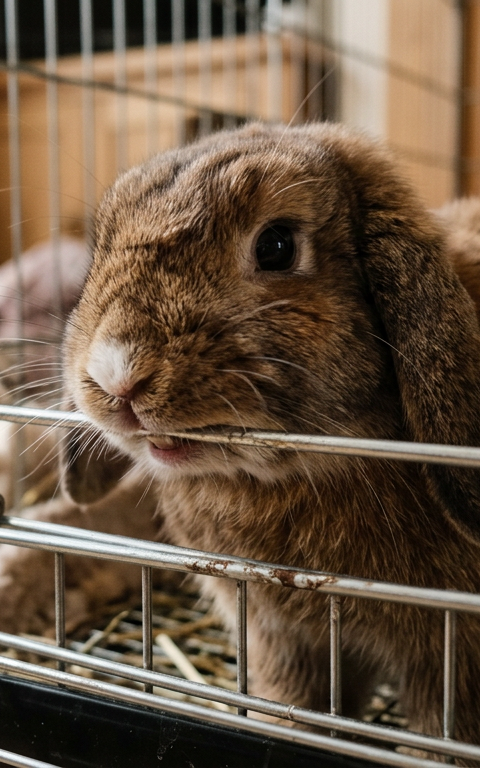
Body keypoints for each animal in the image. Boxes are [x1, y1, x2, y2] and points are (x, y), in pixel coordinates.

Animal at [39, 121, 480, 755]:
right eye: (101, 244)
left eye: (276, 246)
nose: (116, 374)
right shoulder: (284, 645)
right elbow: (295, 709)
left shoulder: (452, 665)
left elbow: (438, 738)